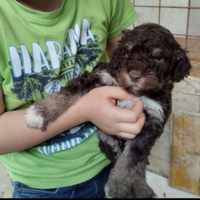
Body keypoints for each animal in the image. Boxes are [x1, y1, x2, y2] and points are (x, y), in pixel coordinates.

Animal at [24, 23, 191, 197]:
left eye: (158, 58)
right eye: (126, 53)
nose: (134, 76)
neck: (136, 93)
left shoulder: (153, 121)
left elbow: (130, 160)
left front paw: (116, 186)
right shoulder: (100, 76)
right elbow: (68, 92)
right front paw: (39, 113)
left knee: (139, 163)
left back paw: (142, 188)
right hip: (106, 137)